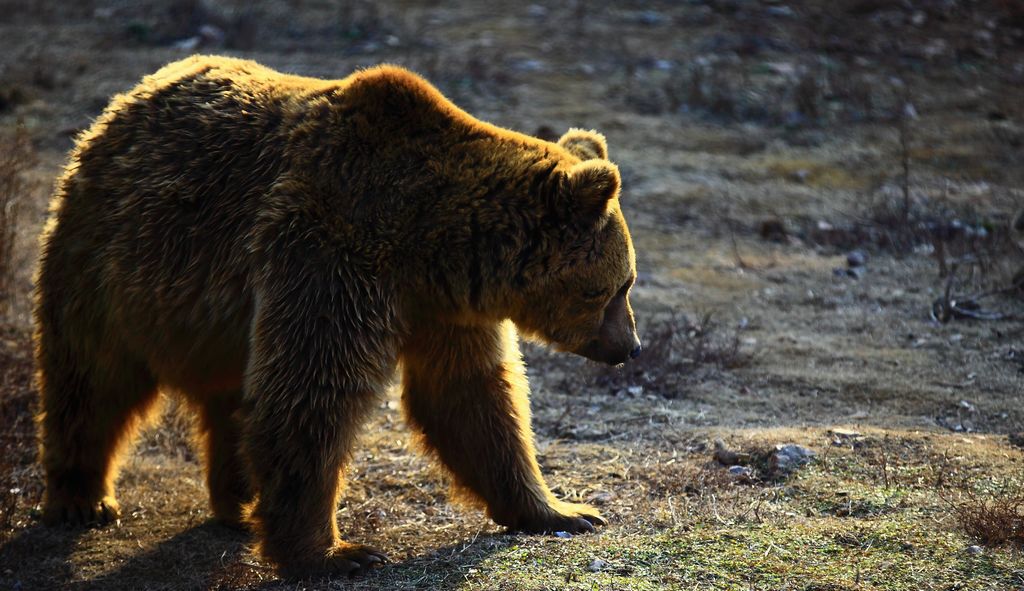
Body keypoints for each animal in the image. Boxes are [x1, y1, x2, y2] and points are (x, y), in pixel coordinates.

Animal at [34, 55, 638, 577]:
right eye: (618, 286)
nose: (630, 347)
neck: (431, 243)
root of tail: (129, 98)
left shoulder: (444, 310)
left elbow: (473, 397)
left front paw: (563, 510)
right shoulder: (333, 256)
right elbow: (312, 396)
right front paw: (339, 553)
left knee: (231, 398)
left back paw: (240, 501)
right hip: (110, 260)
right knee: (92, 378)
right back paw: (84, 499)